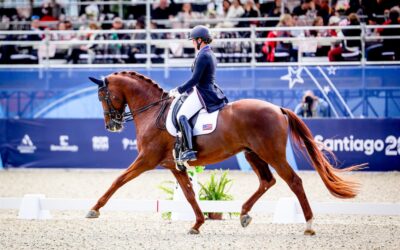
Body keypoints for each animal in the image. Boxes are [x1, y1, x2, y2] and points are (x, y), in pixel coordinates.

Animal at [86, 70, 360, 234]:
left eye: (102, 96)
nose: (111, 126)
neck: (154, 111)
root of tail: (278, 108)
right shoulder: (174, 165)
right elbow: (189, 195)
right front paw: (197, 224)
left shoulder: (146, 159)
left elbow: (118, 180)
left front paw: (94, 209)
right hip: (252, 154)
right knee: (267, 181)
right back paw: (244, 214)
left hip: (271, 154)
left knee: (293, 181)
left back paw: (309, 225)